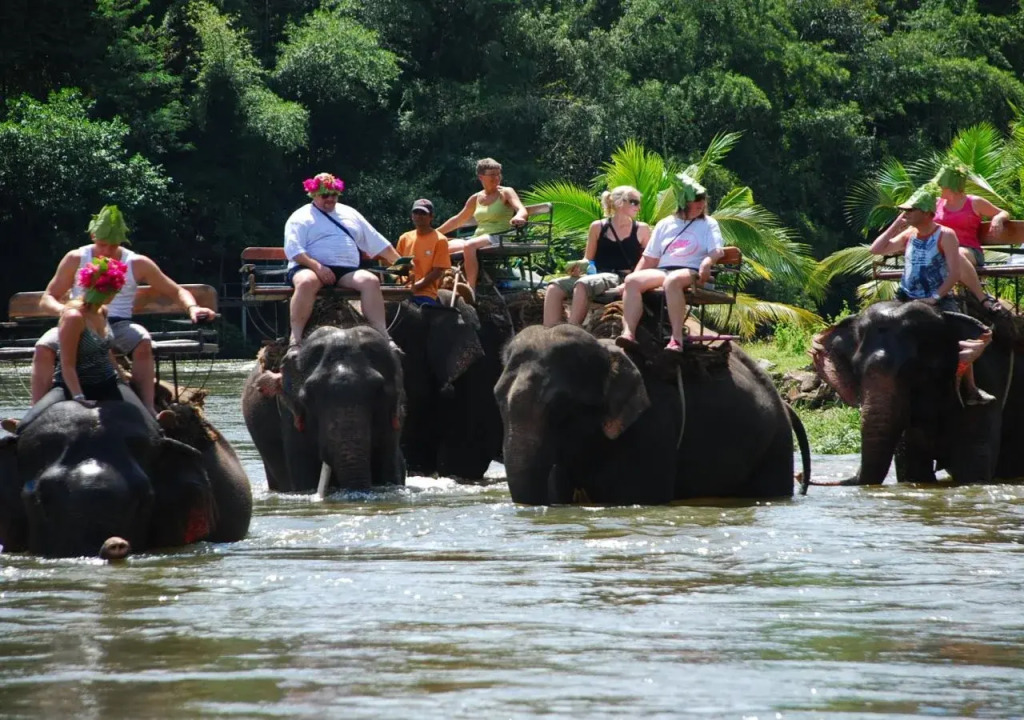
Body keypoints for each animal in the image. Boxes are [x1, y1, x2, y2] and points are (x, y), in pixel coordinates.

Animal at [811, 299, 1024, 485]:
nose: (808, 478)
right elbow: (913, 467)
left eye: (915, 369)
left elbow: (973, 461)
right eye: (856, 370)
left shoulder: (987, 372)